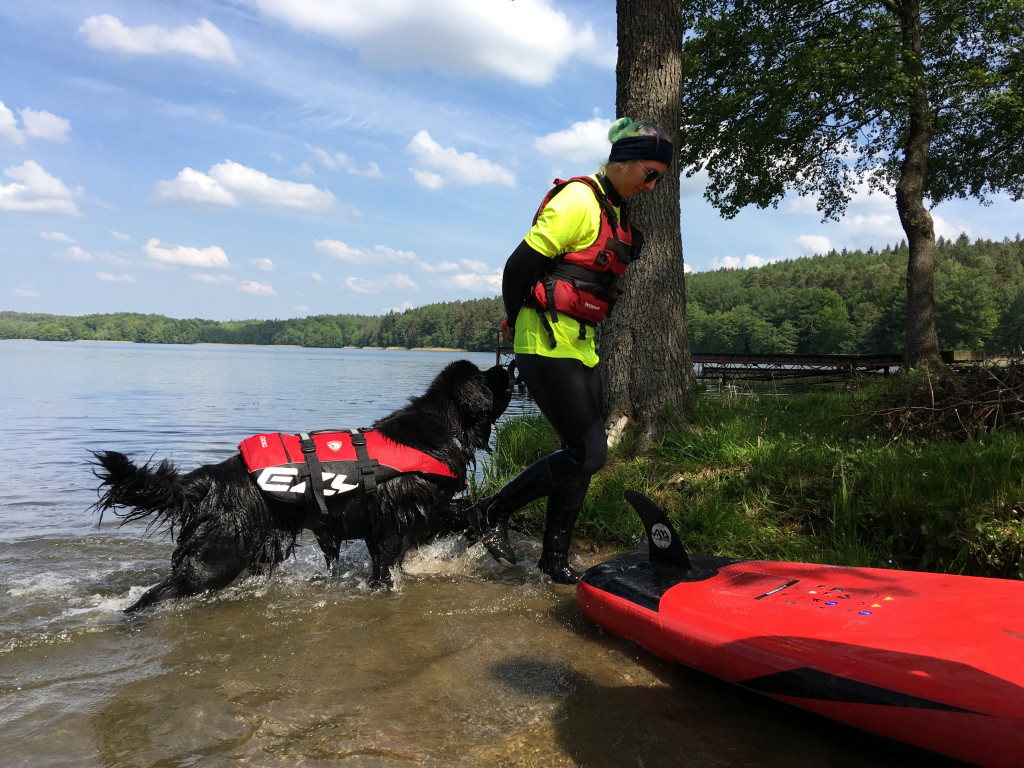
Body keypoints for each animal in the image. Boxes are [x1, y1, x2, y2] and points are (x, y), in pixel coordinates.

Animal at [93, 360, 512, 614]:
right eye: (489, 377)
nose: (507, 366)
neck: (439, 433)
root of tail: (211, 477)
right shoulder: (395, 527)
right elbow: (389, 568)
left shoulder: (420, 516)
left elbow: (462, 513)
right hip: (215, 556)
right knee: (159, 592)